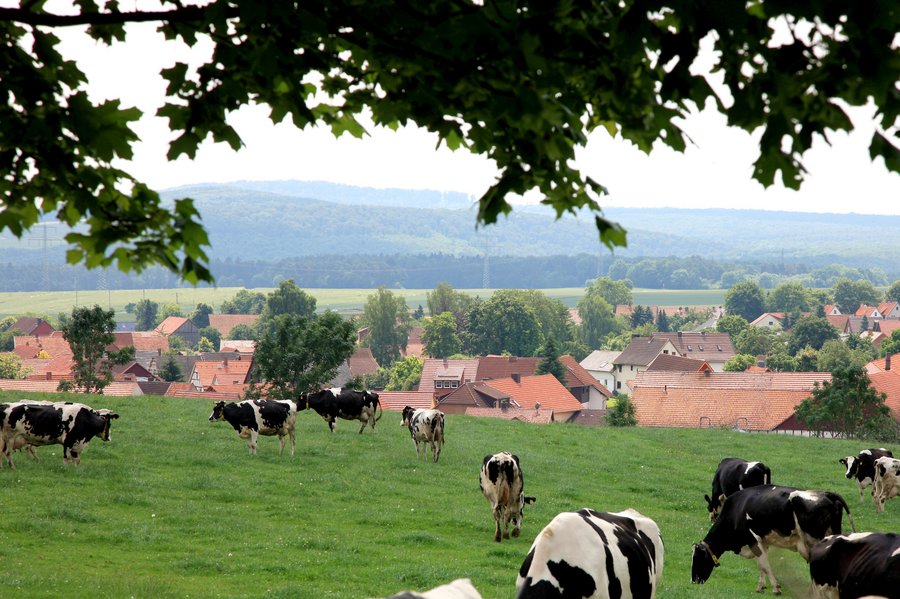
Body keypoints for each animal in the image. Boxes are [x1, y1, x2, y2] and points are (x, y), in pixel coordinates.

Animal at [692, 488, 856, 596]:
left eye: (697, 558)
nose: (693, 581)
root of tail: (827, 494)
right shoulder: (762, 541)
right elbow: (761, 565)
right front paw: (761, 587)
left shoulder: (753, 539)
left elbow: (764, 564)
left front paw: (776, 588)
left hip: (815, 541)